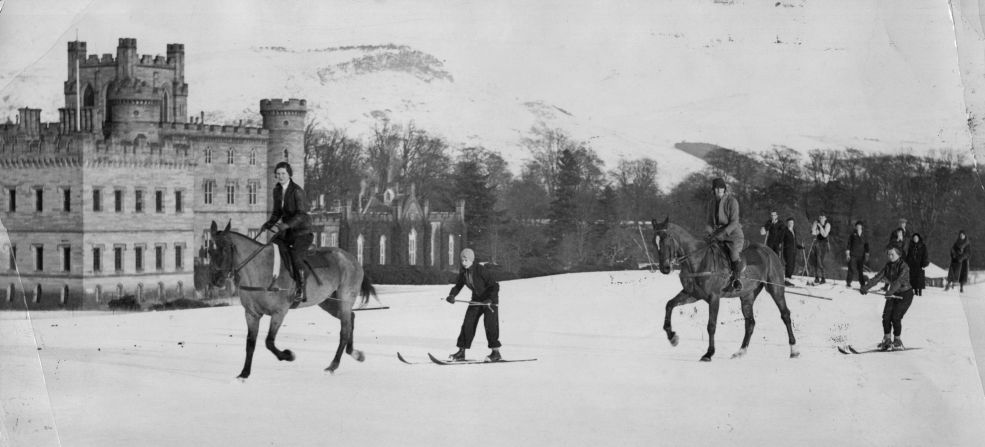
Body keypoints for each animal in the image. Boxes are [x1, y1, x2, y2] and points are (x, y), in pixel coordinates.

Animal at [209, 220, 376, 378]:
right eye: (209, 250)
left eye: (225, 249)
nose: (216, 280)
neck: (261, 270)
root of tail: (351, 259)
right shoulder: (251, 314)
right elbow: (250, 343)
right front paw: (244, 374)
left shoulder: (279, 312)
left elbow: (269, 342)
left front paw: (288, 355)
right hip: (328, 301)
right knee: (351, 318)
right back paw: (355, 353)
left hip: (345, 298)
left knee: (345, 329)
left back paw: (333, 365)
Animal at [648, 219, 796, 362]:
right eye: (654, 242)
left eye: (666, 239)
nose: (664, 268)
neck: (698, 260)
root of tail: (770, 252)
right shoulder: (692, 295)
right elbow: (669, 305)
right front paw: (672, 337)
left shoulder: (714, 298)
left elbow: (711, 326)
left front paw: (709, 353)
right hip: (747, 296)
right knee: (750, 322)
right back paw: (740, 351)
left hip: (775, 289)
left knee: (785, 315)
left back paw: (794, 350)